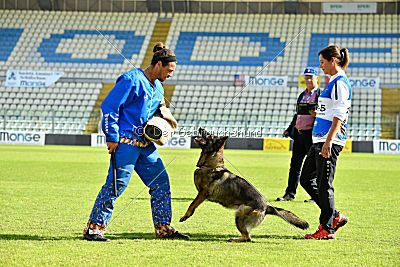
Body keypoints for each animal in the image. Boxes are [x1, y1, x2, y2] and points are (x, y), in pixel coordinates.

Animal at [180, 129, 310, 244]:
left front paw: (186, 216)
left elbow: (192, 204)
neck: (211, 165)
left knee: (248, 238)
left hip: (239, 214)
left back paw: (234, 240)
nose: (200, 127)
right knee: (247, 236)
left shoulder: (202, 193)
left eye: (209, 135)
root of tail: (266, 206)